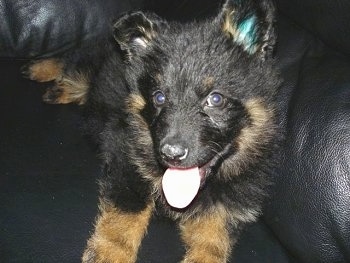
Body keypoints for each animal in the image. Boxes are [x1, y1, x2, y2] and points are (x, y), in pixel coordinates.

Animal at [25, 1, 282, 262]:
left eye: (216, 99)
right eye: (159, 97)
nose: (171, 154)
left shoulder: (227, 206)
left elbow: (213, 238)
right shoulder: (125, 157)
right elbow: (126, 211)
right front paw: (110, 252)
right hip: (88, 66)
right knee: (72, 64)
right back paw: (40, 68)